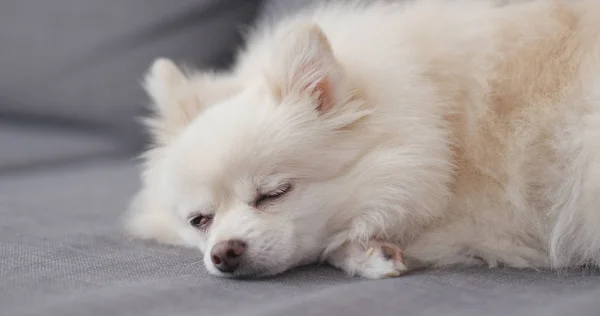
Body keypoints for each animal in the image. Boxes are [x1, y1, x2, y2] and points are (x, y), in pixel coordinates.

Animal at [127, 0, 600, 276]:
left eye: (274, 193)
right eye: (199, 221)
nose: (224, 252)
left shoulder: (490, 221)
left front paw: (364, 251)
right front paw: (370, 252)